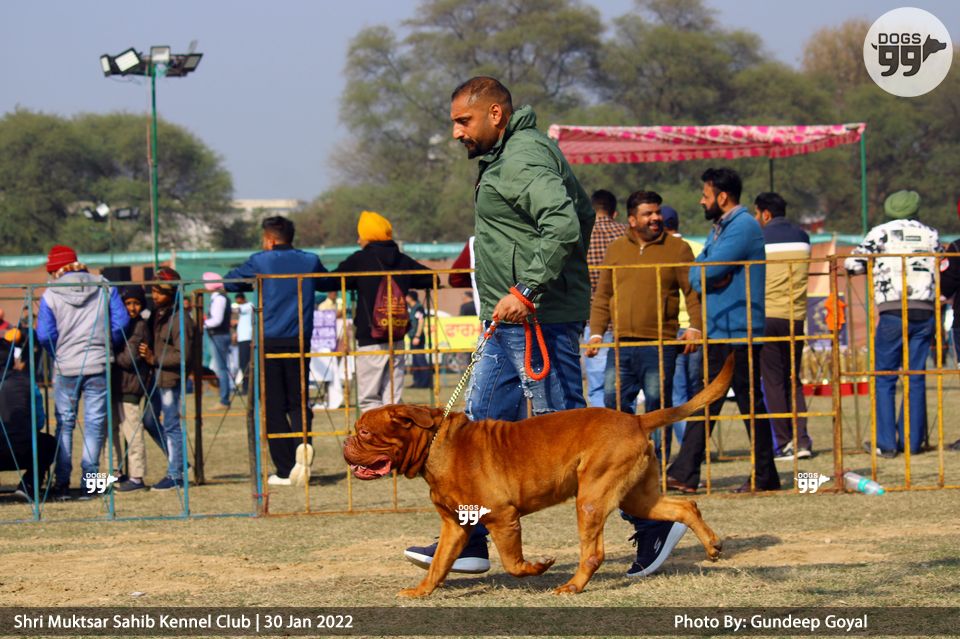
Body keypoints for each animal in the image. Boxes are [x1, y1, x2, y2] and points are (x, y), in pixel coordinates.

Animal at [342, 354, 734, 597]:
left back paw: (573, 586)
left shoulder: (503, 517)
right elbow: (439, 564)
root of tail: (637, 419)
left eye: (365, 432)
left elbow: (513, 564)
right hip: (638, 495)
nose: (346, 441)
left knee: (593, 552)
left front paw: (539, 566)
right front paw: (422, 591)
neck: (436, 444)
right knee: (684, 507)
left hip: (591, 498)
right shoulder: (455, 525)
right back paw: (712, 545)